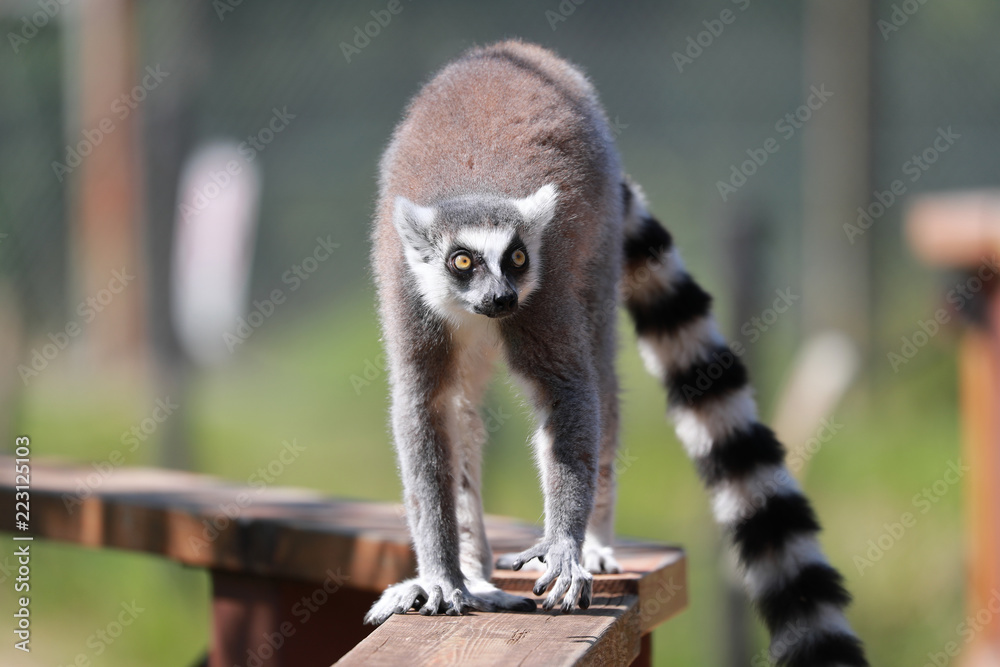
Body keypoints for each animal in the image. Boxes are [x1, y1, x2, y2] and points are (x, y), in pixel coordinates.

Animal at [364, 39, 867, 667]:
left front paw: (563, 545)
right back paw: (476, 577)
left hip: (595, 245)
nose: (503, 297)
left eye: (517, 259)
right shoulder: (412, 299)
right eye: (462, 261)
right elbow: (424, 409)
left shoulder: (543, 296)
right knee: (462, 409)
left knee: (600, 375)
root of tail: (510, 49)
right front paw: (441, 577)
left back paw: (594, 541)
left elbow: (571, 392)